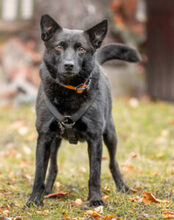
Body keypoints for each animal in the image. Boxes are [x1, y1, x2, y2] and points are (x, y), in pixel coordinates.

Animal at [26, 14, 141, 207]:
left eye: (81, 49)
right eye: (59, 47)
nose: (69, 65)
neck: (68, 91)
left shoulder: (95, 137)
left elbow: (95, 173)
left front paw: (95, 199)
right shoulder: (44, 137)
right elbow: (39, 172)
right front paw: (34, 199)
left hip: (110, 134)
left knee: (113, 163)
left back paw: (122, 187)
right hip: (56, 141)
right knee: (53, 166)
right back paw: (48, 190)